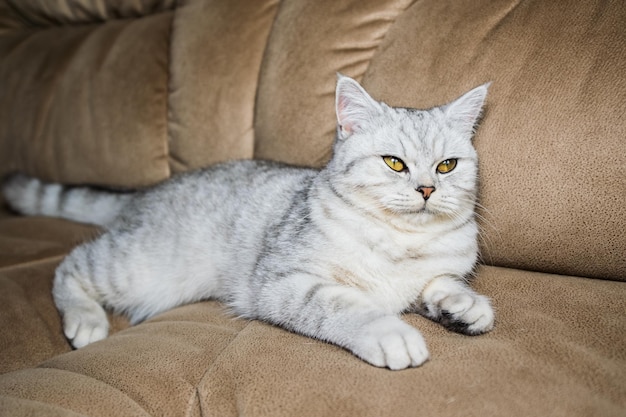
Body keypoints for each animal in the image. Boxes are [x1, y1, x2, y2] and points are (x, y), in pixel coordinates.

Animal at [2, 75, 494, 370]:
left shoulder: (434, 272)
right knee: (70, 264)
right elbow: (348, 306)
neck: (402, 239)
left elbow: (440, 283)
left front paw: (464, 306)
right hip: (141, 269)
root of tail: (145, 194)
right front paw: (390, 332)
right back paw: (85, 320)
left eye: (447, 166)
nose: (427, 190)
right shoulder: (284, 282)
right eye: (394, 163)